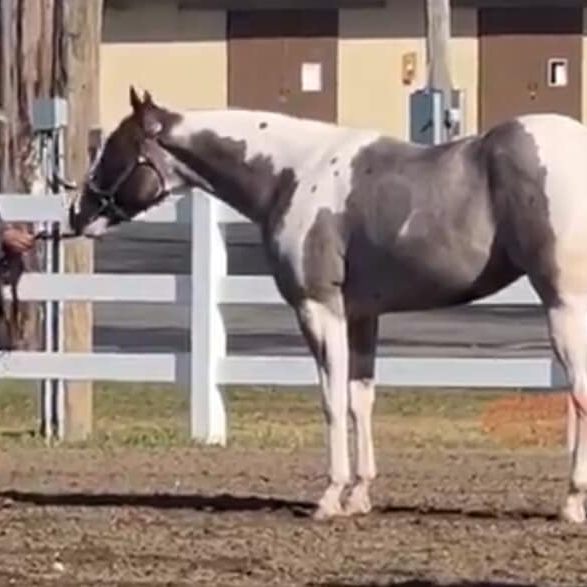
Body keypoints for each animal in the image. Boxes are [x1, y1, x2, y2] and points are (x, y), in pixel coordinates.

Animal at [70, 87, 587, 524]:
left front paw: (330, 497)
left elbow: (331, 400)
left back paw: (571, 503)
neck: (292, 173)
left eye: (115, 147)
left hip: (563, 305)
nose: (77, 214)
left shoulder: (318, 310)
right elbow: (360, 400)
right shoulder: (361, 316)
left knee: (579, 390)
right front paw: (359, 494)